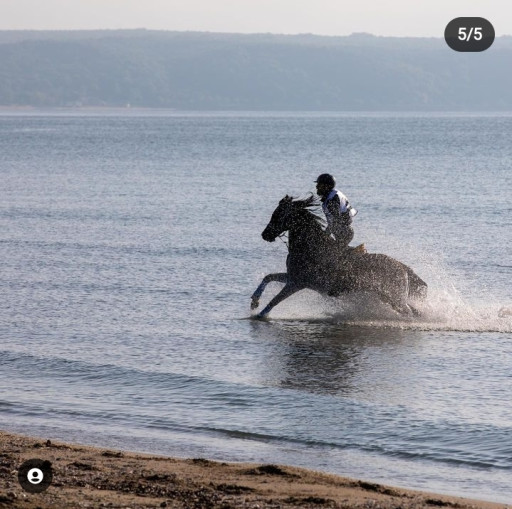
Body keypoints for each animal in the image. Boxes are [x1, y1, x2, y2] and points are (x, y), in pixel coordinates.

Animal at [250, 194, 426, 318]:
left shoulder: (296, 283)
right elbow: (268, 277)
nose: (265, 234)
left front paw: (259, 315)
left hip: (395, 298)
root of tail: (403, 268)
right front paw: (254, 301)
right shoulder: (292, 277)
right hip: (390, 298)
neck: (308, 247)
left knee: (409, 312)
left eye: (278, 214)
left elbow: (274, 301)